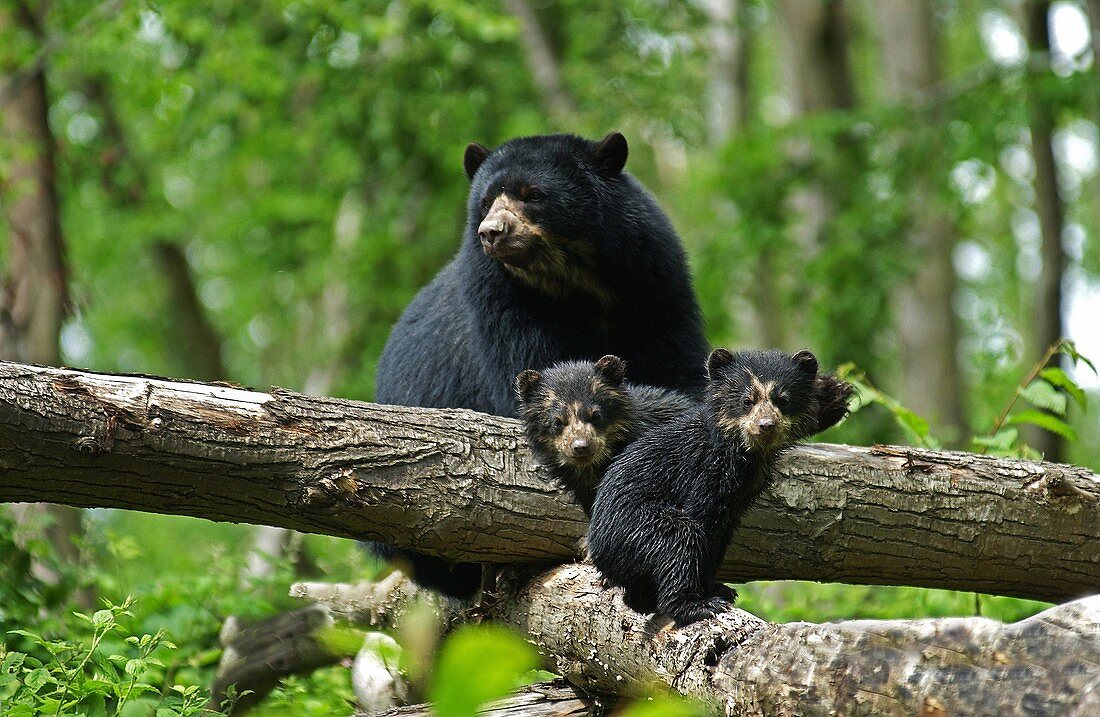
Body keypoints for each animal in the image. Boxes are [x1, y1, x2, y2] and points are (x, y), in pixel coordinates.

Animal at [374, 131, 708, 598]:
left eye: (533, 194)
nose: (492, 232)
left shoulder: (653, 282)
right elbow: (539, 377)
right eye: (485, 201)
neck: (574, 281)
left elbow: (674, 363)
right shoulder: (505, 305)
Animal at [585, 349, 849, 624]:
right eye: (747, 401)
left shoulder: (741, 495)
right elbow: (703, 520)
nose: (766, 425)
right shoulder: (708, 472)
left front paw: (717, 586)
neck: (746, 453)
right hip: (635, 528)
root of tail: (599, 550)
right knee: (679, 538)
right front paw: (707, 593)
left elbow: (722, 535)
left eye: (783, 400)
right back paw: (694, 606)